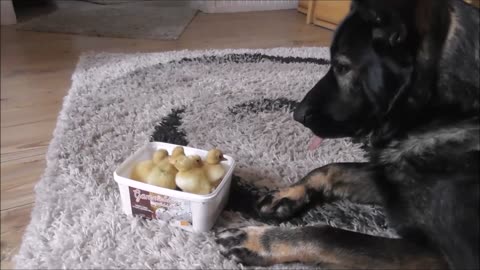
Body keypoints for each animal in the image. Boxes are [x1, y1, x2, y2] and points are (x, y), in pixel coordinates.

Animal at [218, 0, 480, 268]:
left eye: (343, 67)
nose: (297, 115)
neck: (444, 112)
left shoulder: (442, 256)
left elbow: (328, 235)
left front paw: (259, 241)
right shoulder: (386, 179)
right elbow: (331, 168)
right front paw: (286, 194)